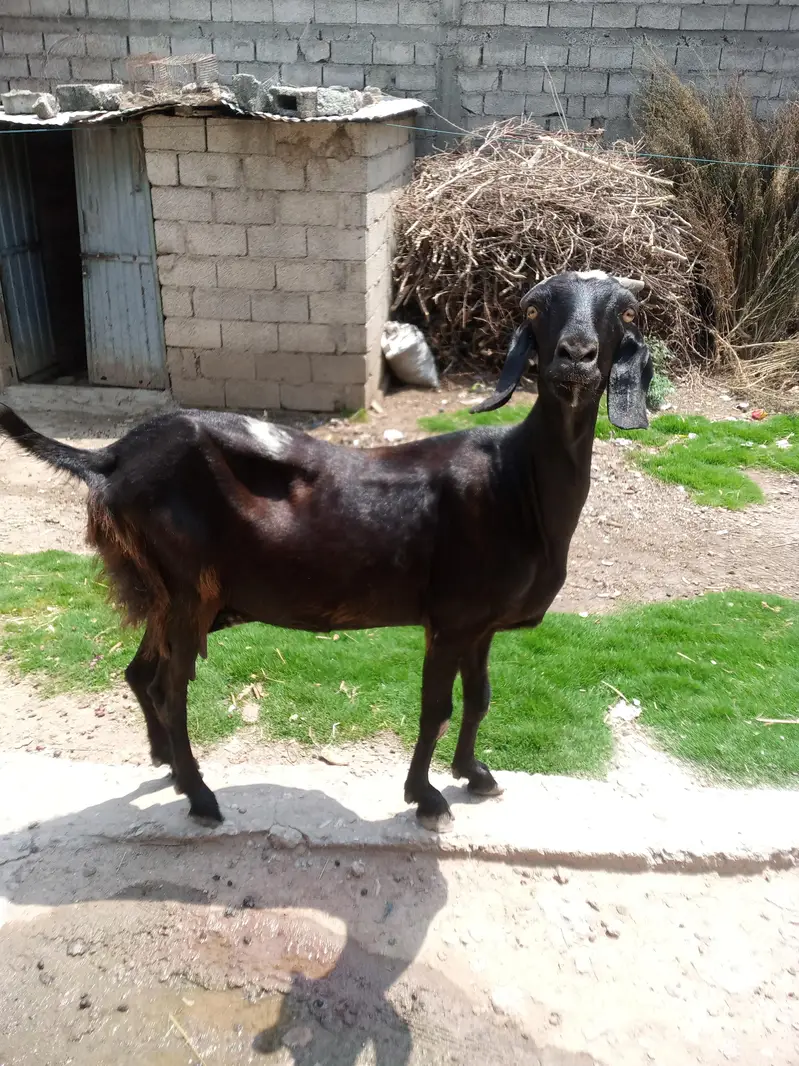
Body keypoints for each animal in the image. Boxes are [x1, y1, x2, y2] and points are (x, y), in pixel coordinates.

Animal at [0, 271, 652, 831]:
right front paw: (426, 798)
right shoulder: (451, 618)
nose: (575, 357)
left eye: (623, 311)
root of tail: (110, 457)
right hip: (187, 590)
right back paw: (203, 797)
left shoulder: (481, 625)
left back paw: (171, 769)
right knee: (167, 685)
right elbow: (436, 707)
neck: (516, 481)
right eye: (536, 309)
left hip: (169, 594)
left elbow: (479, 699)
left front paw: (475, 774)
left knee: (140, 671)